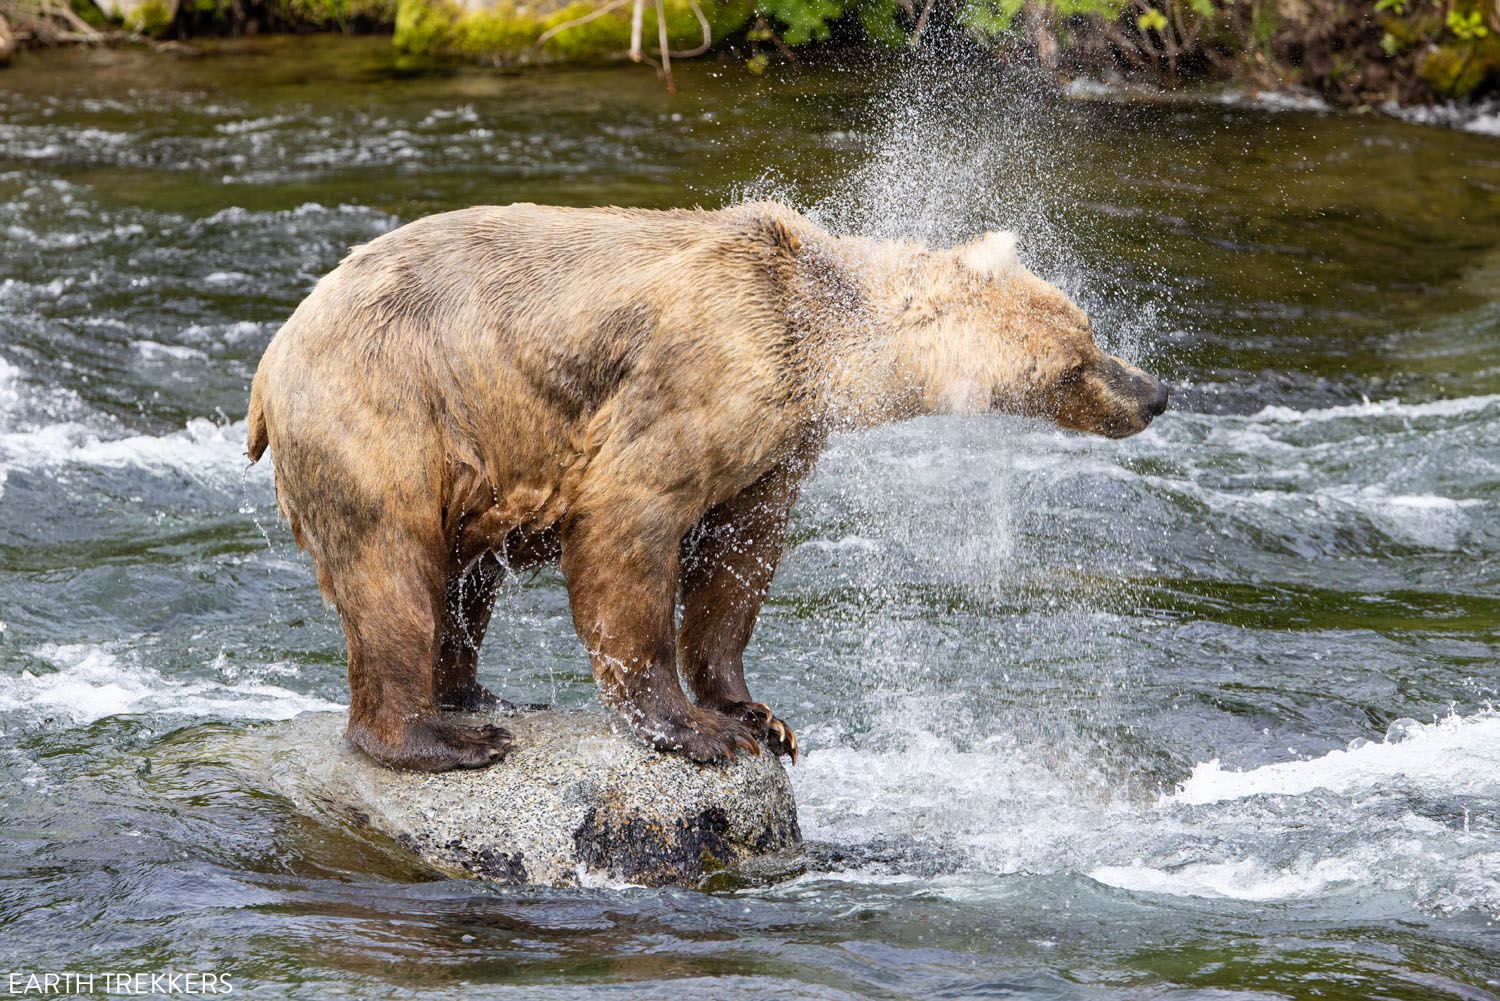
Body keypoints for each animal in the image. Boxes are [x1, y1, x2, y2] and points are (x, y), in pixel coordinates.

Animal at [246, 199, 1164, 774]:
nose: (1154, 391)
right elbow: (632, 520)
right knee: (391, 568)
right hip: (389, 411)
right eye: (1080, 359)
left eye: (1089, 328)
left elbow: (738, 560)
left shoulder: (780, 442)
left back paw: (477, 690)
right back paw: (446, 736)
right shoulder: (705, 375)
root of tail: (272, 356)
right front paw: (695, 729)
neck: (818, 338)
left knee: (464, 578)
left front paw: (762, 716)